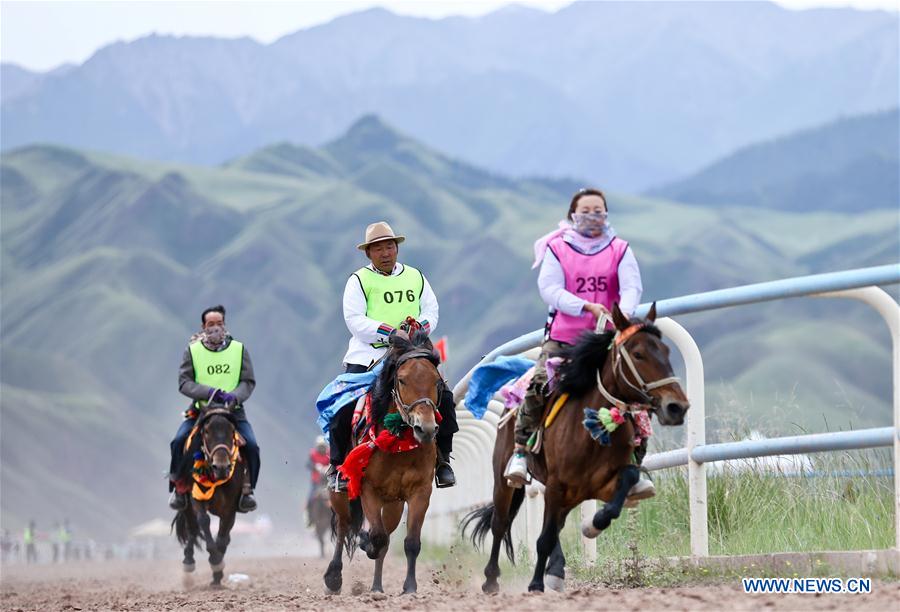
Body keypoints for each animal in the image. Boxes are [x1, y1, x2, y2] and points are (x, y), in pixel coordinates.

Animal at [171, 408, 243, 584]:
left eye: (232, 431)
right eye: (207, 431)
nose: (222, 467)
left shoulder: (230, 509)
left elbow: (222, 538)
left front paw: (217, 573)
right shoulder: (196, 498)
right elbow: (203, 521)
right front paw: (216, 561)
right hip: (186, 505)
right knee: (192, 529)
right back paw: (188, 563)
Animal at [326, 328, 446, 596]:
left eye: (436, 381)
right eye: (402, 380)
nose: (425, 429)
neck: (399, 445)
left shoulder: (420, 492)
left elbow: (410, 542)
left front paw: (409, 588)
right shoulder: (368, 489)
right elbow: (376, 537)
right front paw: (365, 542)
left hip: (393, 503)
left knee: (387, 537)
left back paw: (377, 587)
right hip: (340, 492)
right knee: (343, 525)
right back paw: (333, 578)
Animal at [464, 304, 688, 592]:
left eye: (667, 351)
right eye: (638, 354)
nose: (677, 406)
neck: (592, 433)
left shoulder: (597, 485)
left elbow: (622, 488)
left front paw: (592, 526)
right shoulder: (557, 484)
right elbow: (544, 538)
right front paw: (535, 583)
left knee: (555, 525)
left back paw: (556, 569)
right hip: (505, 478)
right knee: (501, 523)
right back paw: (492, 578)